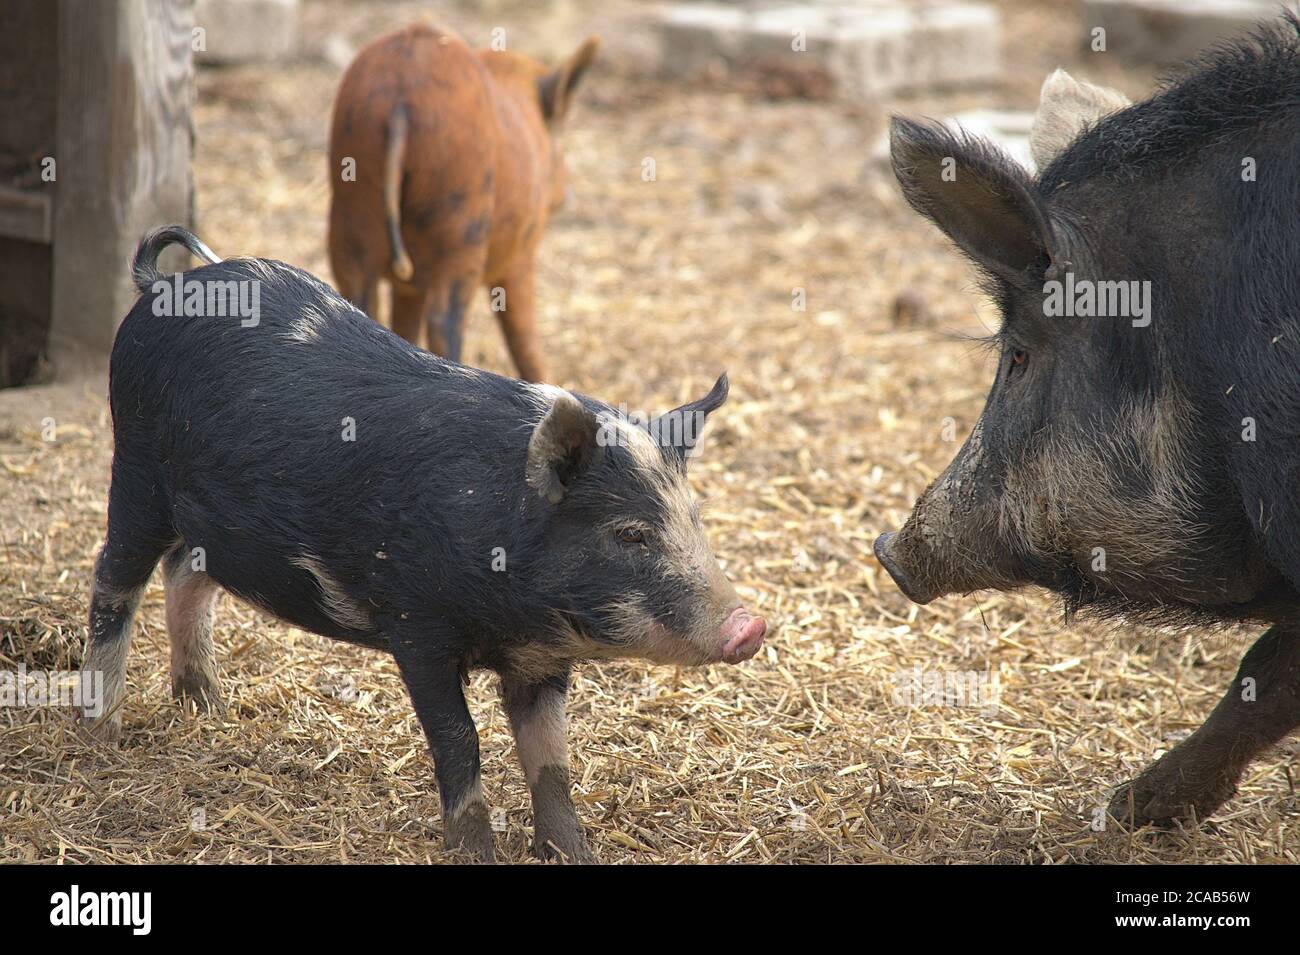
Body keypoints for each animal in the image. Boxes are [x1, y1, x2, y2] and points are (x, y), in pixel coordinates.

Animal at [81, 226, 767, 863]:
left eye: (695, 518)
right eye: (628, 533)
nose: (750, 626)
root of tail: (160, 286)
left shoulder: (541, 661)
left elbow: (552, 760)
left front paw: (574, 853)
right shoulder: (417, 624)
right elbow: (459, 739)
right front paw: (475, 853)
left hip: (216, 527)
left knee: (184, 573)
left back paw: (207, 709)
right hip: (136, 469)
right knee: (113, 583)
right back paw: (102, 732)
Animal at [327, 24, 599, 383]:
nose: (566, 195)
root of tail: (402, 93)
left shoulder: (408, 286)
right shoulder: (520, 253)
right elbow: (523, 337)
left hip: (351, 203)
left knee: (361, 300)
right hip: (461, 221)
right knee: (445, 319)